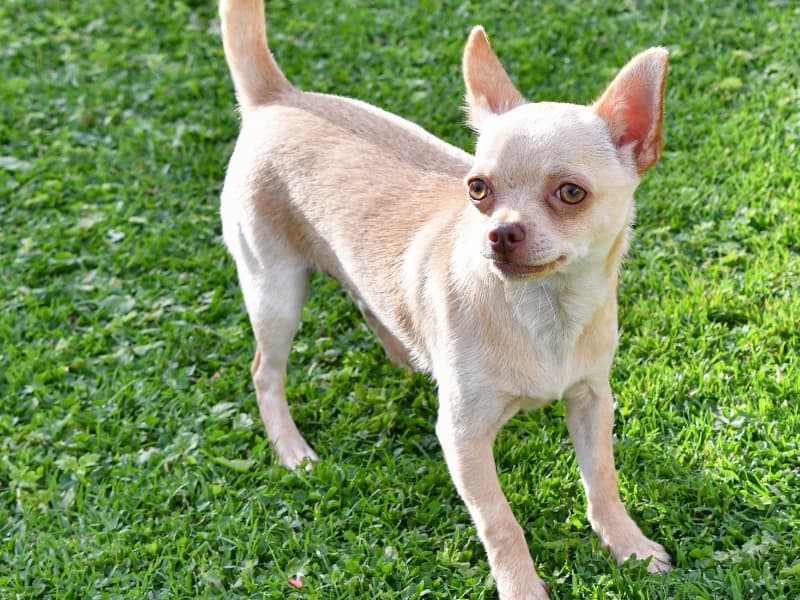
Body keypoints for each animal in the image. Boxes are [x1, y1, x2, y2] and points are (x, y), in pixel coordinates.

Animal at [217, 1, 668, 596]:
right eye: (478, 189)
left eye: (571, 193)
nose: (500, 233)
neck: (542, 312)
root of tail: (276, 96)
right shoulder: (462, 438)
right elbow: (501, 523)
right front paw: (522, 588)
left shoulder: (592, 400)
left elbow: (602, 480)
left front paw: (628, 545)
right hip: (276, 290)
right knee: (265, 372)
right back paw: (292, 450)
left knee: (365, 299)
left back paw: (405, 354)